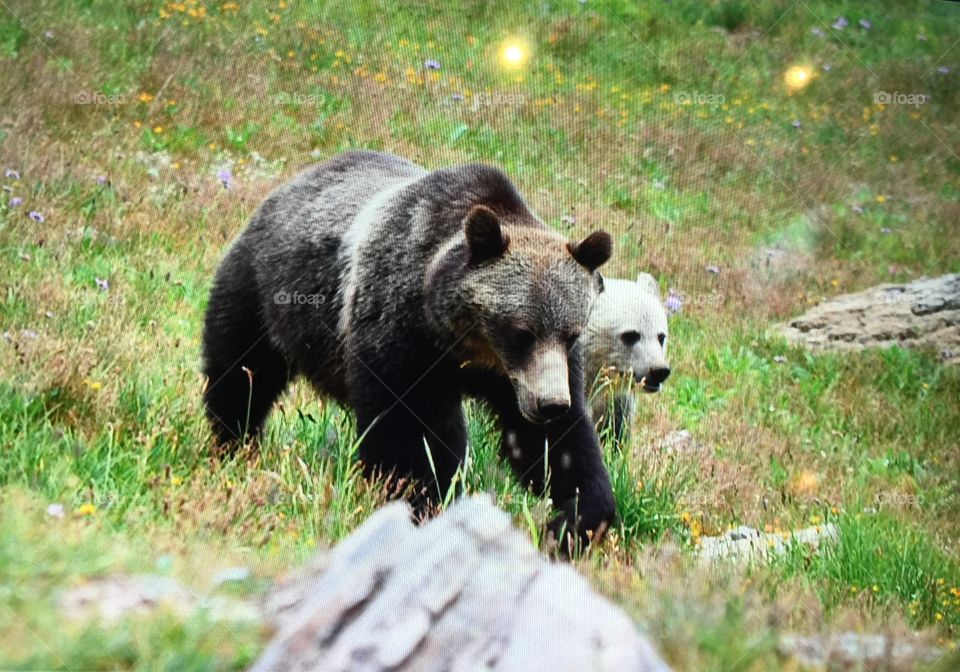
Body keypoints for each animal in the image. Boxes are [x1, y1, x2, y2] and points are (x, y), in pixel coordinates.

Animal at [201, 150, 616, 552]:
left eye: (571, 333)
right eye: (521, 332)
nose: (549, 404)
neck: (468, 345)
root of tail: (287, 187)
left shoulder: (527, 376)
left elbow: (557, 445)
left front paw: (573, 522)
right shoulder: (403, 334)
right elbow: (410, 433)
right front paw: (423, 502)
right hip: (263, 292)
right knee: (240, 375)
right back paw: (234, 443)